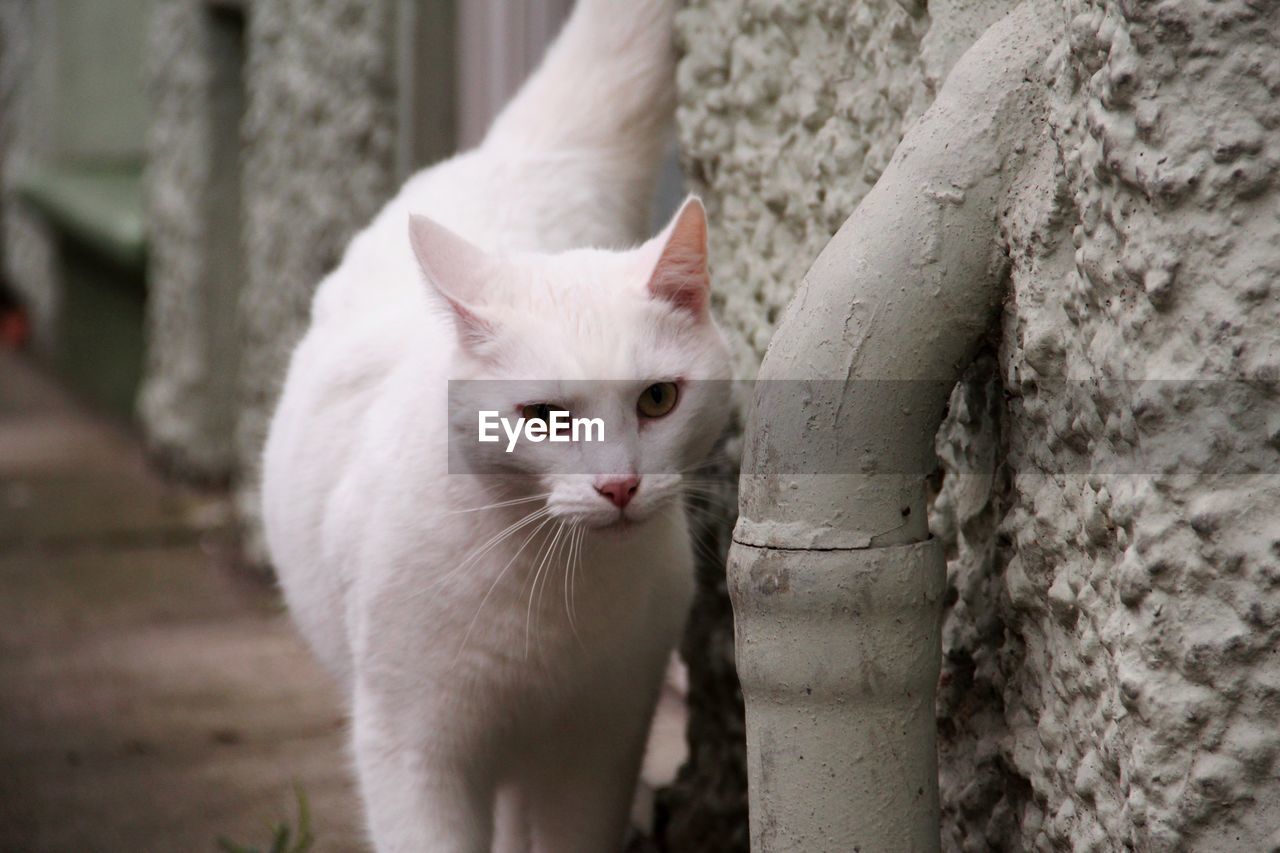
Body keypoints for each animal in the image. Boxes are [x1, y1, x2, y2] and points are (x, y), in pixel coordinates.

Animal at [262, 1, 732, 850]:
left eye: (657, 400)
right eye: (541, 418)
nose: (620, 483)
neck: (552, 596)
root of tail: (518, 157)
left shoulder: (600, 750)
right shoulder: (411, 751)